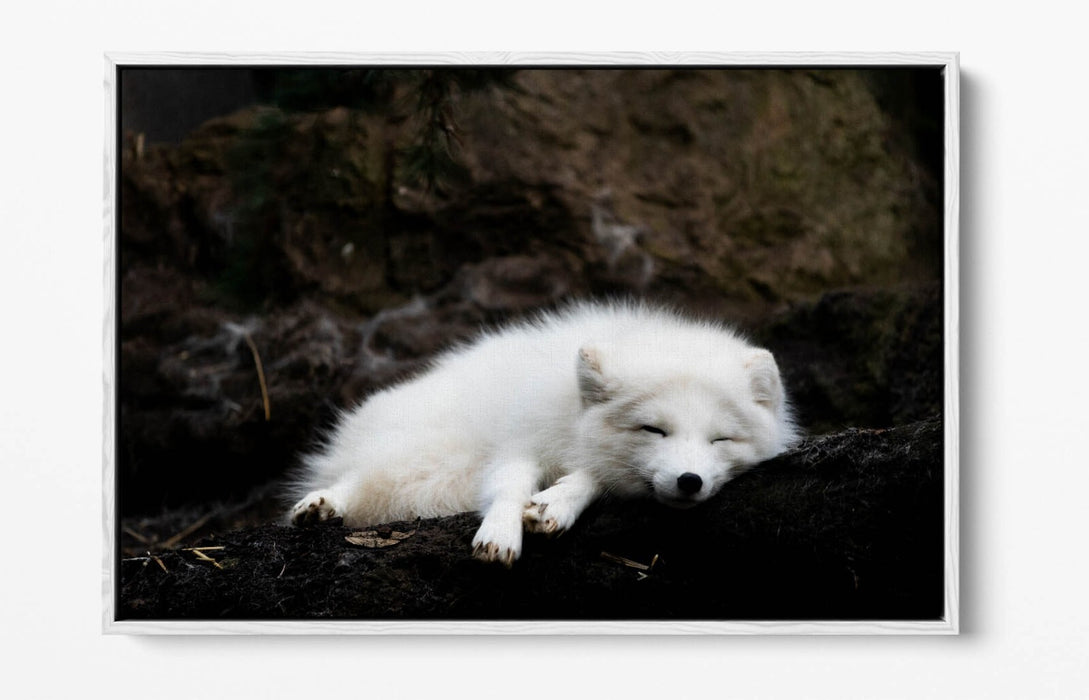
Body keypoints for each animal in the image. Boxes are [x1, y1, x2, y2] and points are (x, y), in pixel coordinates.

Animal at [288, 301, 799, 566]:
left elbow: (593, 477)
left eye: (720, 440)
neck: (569, 412)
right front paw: (500, 533)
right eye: (653, 429)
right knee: (361, 477)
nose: (689, 481)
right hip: (424, 453)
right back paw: (322, 504)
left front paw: (556, 503)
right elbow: (509, 485)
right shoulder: (519, 440)